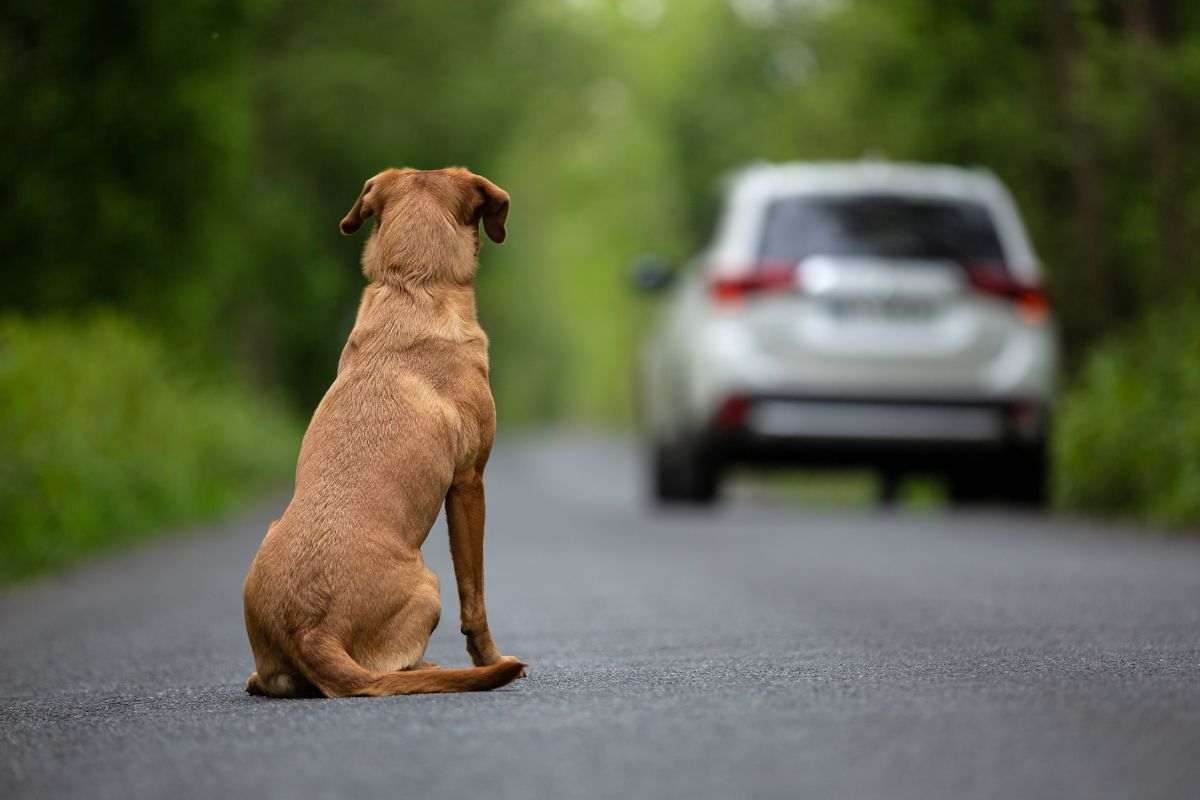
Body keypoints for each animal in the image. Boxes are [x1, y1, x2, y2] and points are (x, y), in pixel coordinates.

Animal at [241, 167, 523, 695]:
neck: (412, 285)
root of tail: (311, 630)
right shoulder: (469, 482)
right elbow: (474, 597)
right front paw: (489, 657)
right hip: (429, 585)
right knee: (396, 668)